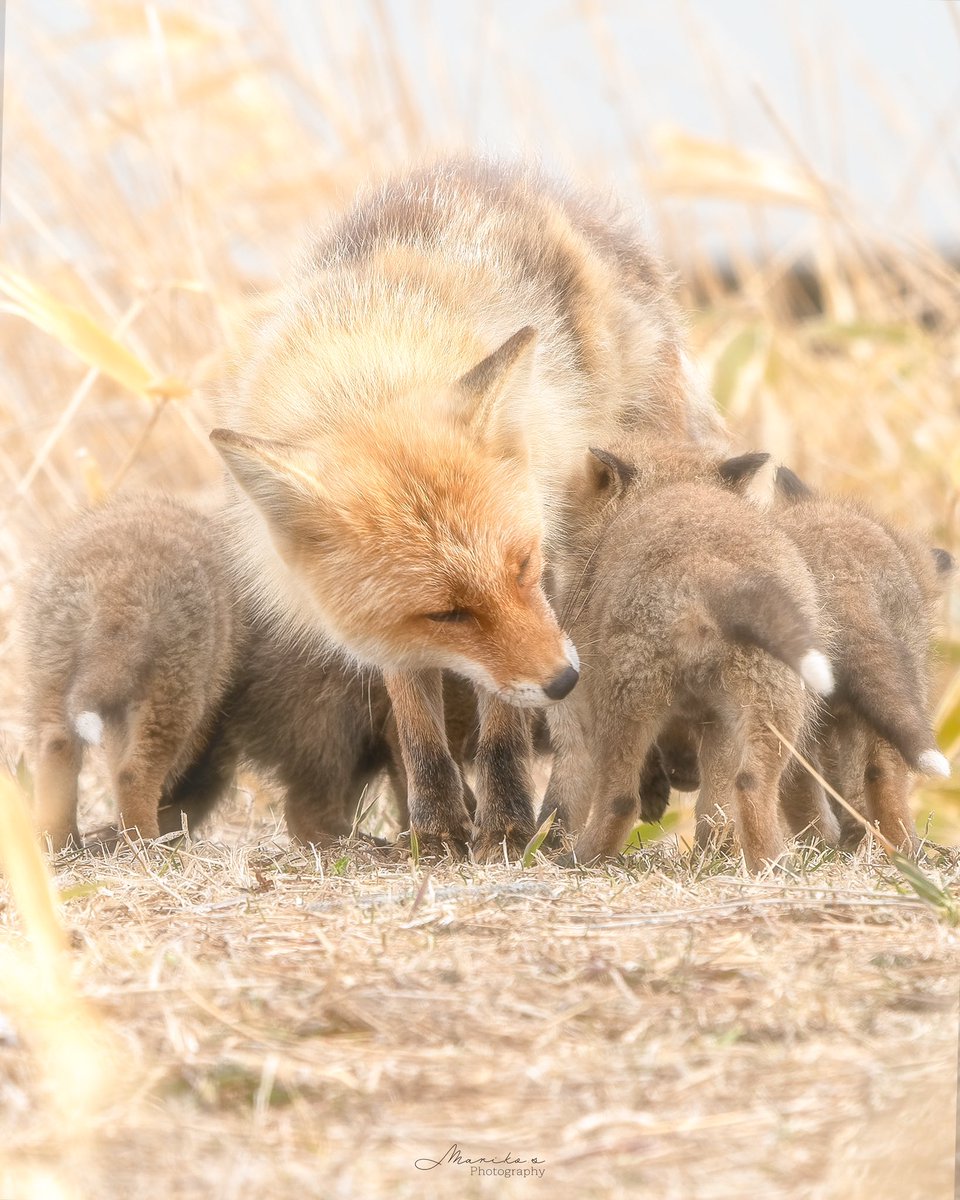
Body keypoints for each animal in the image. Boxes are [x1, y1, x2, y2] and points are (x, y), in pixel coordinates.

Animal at [210, 157, 720, 854]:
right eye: (445, 613)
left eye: (525, 568)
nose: (564, 681)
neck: (375, 354)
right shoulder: (392, 632)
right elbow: (418, 725)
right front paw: (438, 827)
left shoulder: (544, 590)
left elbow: (503, 723)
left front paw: (506, 824)